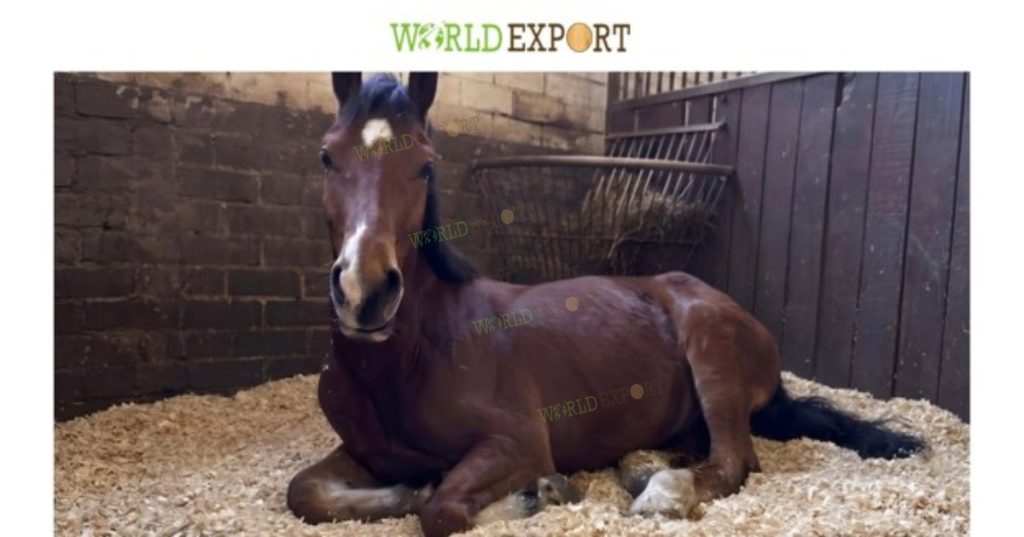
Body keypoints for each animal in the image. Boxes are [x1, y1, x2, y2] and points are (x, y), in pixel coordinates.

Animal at [286, 72, 925, 537]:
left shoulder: (516, 443)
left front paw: (541, 494)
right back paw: (638, 469)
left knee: (732, 460)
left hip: (712, 357)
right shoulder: (365, 452)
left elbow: (441, 510)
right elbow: (305, 493)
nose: (364, 292)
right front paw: (412, 487)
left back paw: (660, 492)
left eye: (424, 165)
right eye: (325, 156)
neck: (416, 354)